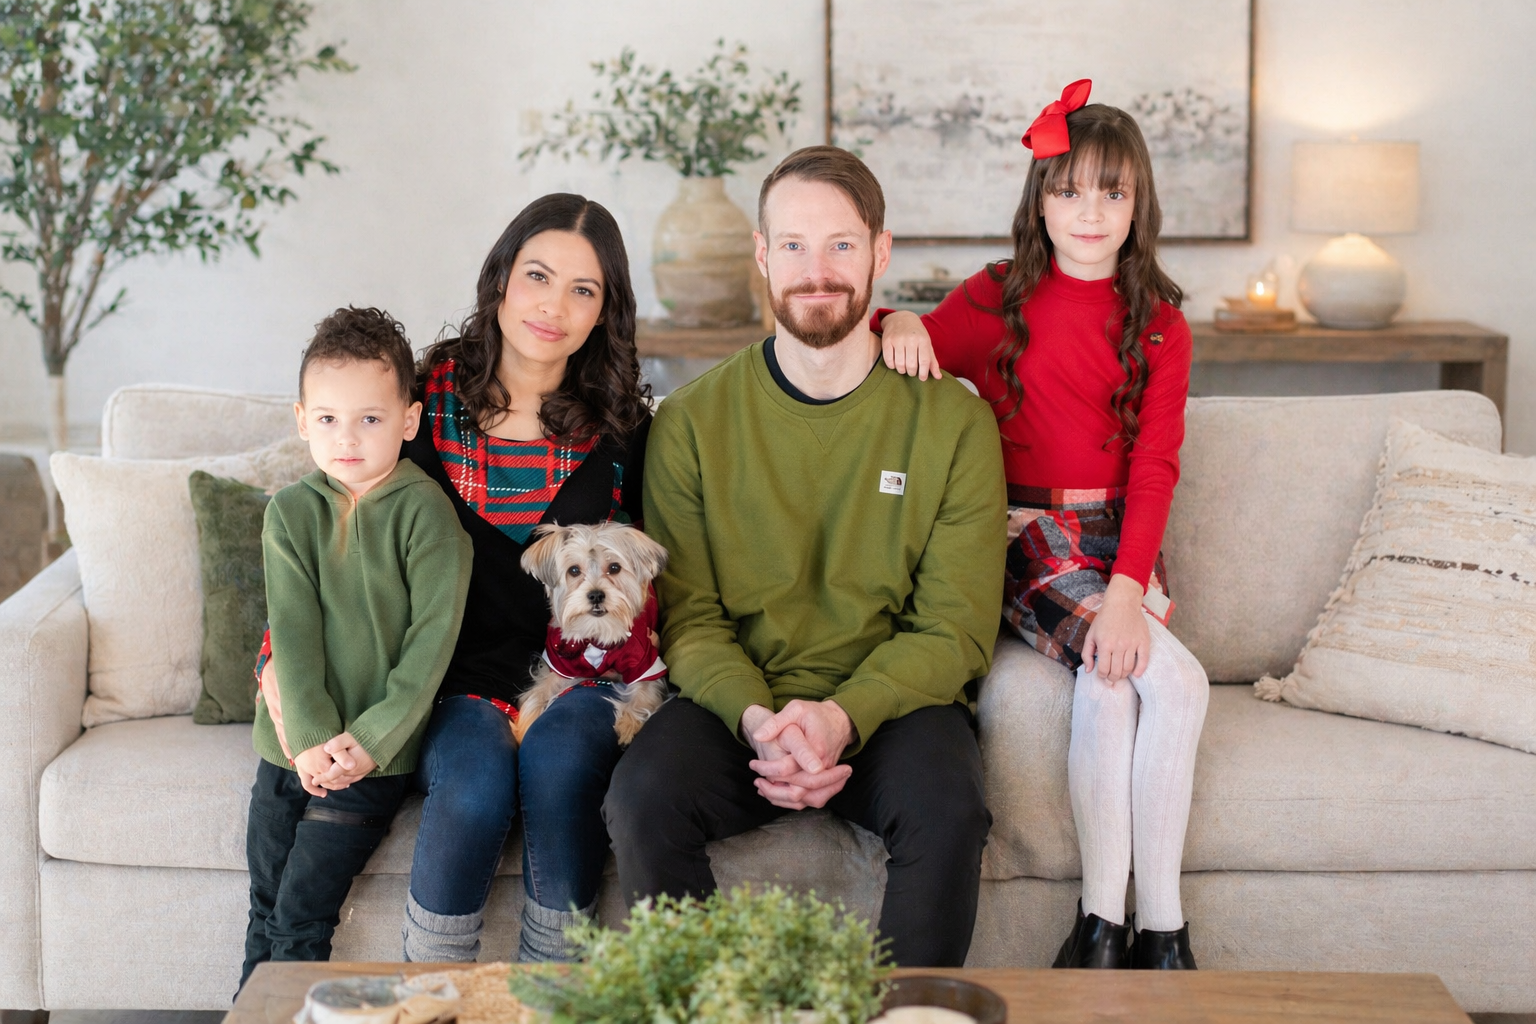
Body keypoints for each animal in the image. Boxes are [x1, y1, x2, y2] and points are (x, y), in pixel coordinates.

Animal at [516, 521, 670, 746]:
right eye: (574, 570)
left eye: (614, 568)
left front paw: (628, 724)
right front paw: (525, 722)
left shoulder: (644, 661)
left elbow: (642, 694)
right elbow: (540, 690)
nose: (596, 595)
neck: (596, 632)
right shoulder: (559, 664)